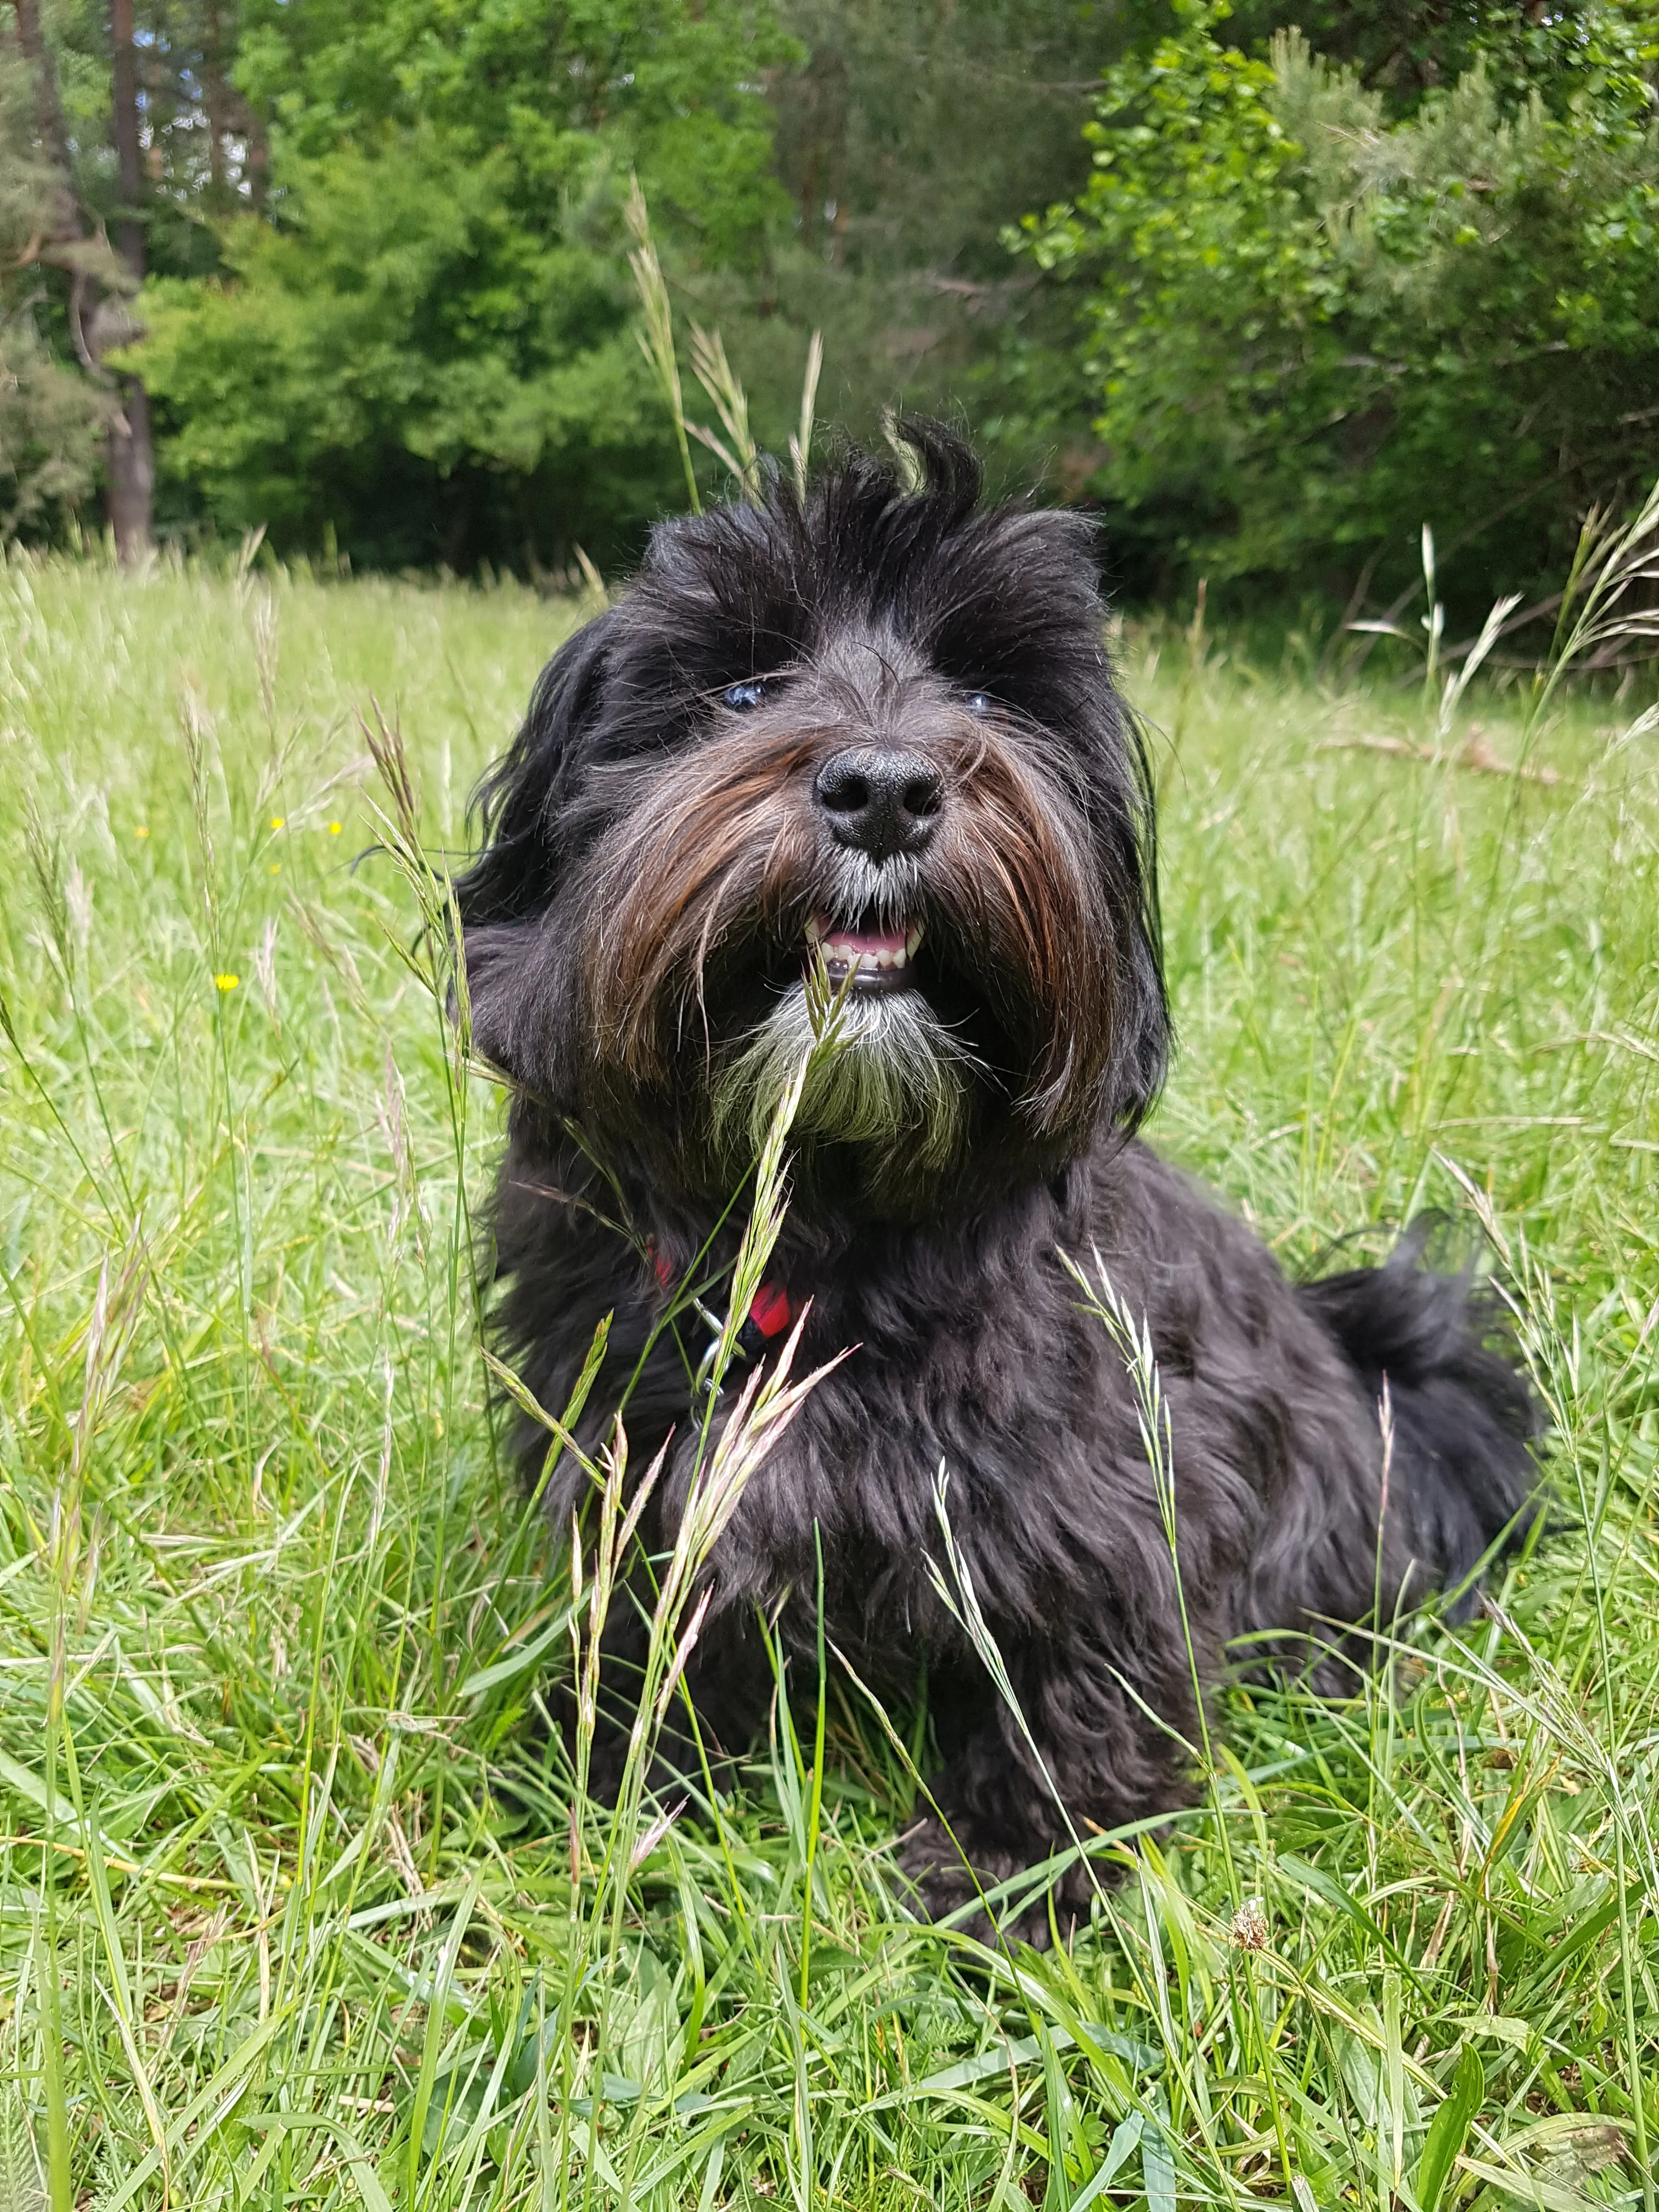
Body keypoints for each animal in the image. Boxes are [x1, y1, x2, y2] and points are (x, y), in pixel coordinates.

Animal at [458, 422, 1548, 1928]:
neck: (833, 1235)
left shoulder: (1116, 1489)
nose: (886, 786)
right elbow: (657, 1639)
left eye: (982, 688)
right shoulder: (643, 1458)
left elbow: (1073, 1669)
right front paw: (629, 1795)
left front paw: (1019, 1866)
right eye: (740, 685)